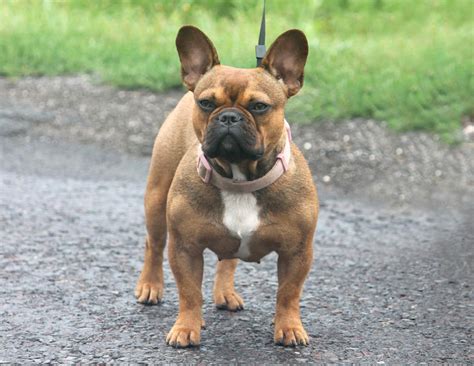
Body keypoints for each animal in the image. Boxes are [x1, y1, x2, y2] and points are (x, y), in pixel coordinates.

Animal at [134, 25, 318, 346]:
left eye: (259, 106)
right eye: (206, 103)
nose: (228, 116)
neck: (240, 178)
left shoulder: (298, 251)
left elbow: (288, 293)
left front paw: (289, 328)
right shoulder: (185, 247)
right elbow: (189, 292)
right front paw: (186, 328)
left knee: (228, 259)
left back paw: (225, 293)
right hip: (156, 198)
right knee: (153, 244)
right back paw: (150, 286)